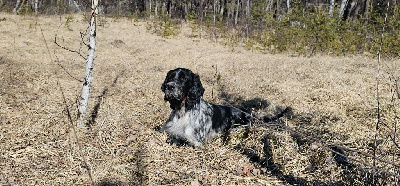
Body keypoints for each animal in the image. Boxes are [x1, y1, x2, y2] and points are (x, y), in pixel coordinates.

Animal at [159, 67, 288, 146]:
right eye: (170, 77)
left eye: (184, 79)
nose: (169, 86)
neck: (183, 111)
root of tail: (246, 113)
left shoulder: (196, 141)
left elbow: (178, 140)